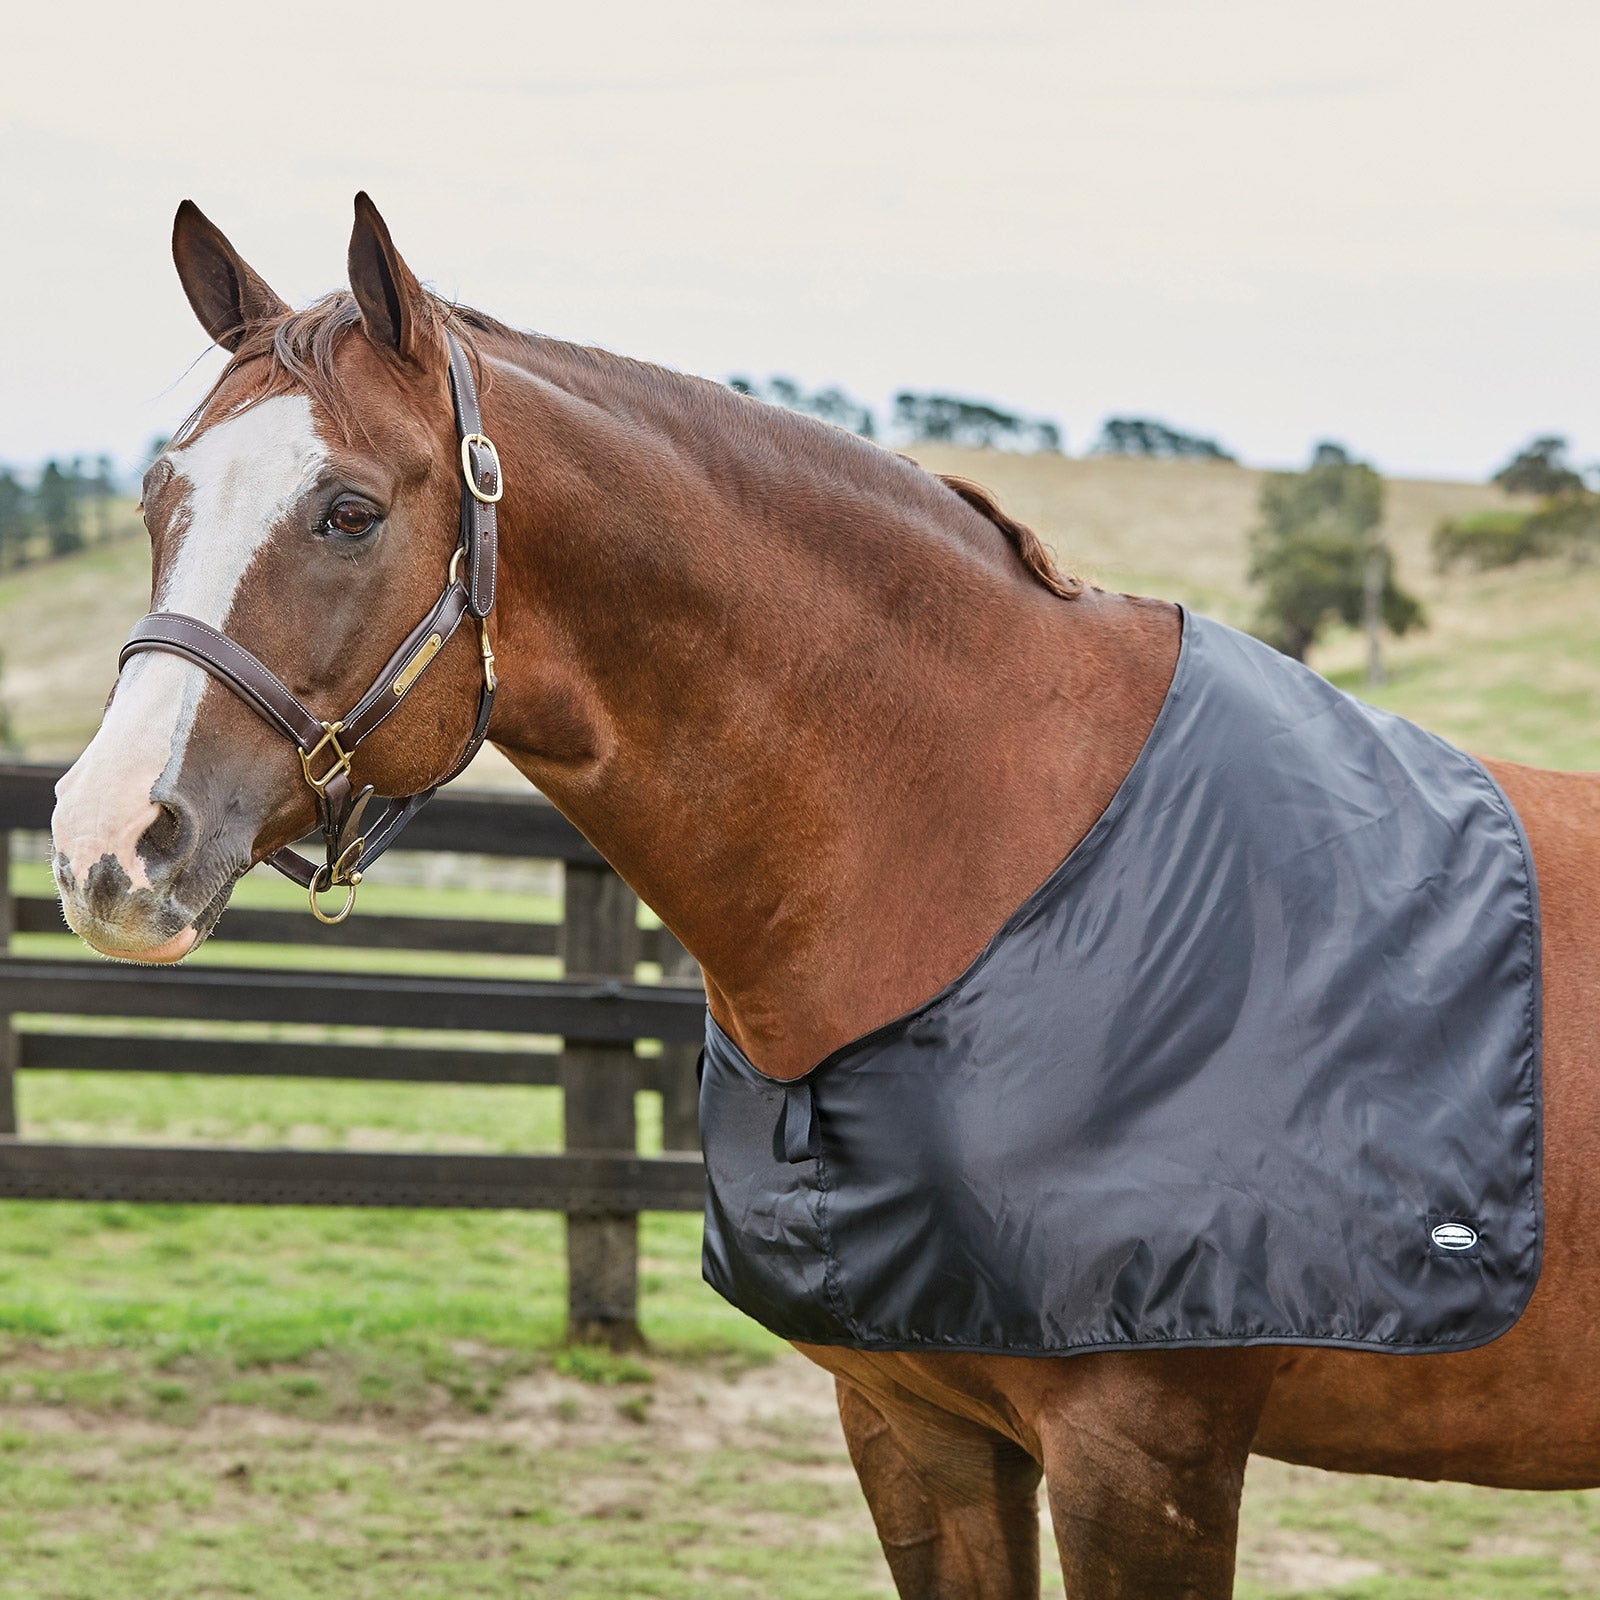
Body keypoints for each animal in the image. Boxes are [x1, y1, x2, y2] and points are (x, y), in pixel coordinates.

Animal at [49, 194, 1600, 1598]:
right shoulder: (917, 1428)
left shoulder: (1146, 1457)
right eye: (157, 501)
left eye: (350, 512)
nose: (105, 842)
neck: (995, 862)